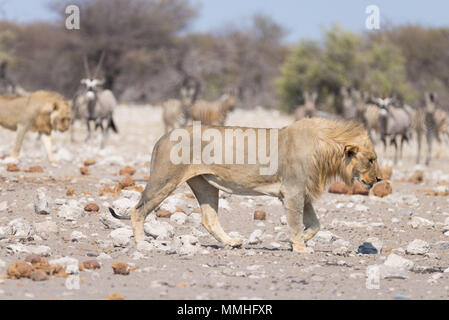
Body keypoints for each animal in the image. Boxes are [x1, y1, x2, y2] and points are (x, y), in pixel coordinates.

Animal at [111, 117, 382, 252]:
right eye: (371, 160)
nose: (379, 179)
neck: (327, 153)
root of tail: (163, 136)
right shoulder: (293, 191)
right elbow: (296, 223)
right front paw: (300, 247)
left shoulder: (302, 194)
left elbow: (315, 224)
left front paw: (299, 242)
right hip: (164, 180)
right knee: (138, 210)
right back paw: (141, 243)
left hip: (205, 184)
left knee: (209, 219)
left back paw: (232, 242)